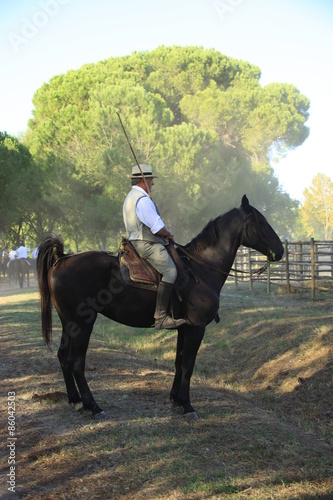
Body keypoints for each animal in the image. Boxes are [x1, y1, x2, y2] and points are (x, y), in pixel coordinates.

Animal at [37, 195, 282, 418]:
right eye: (261, 221)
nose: (280, 250)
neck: (201, 269)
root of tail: (61, 259)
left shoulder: (185, 328)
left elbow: (178, 363)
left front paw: (176, 400)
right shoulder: (196, 328)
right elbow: (188, 365)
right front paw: (187, 405)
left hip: (69, 323)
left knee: (62, 357)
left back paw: (75, 400)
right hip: (82, 324)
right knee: (76, 363)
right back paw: (93, 406)